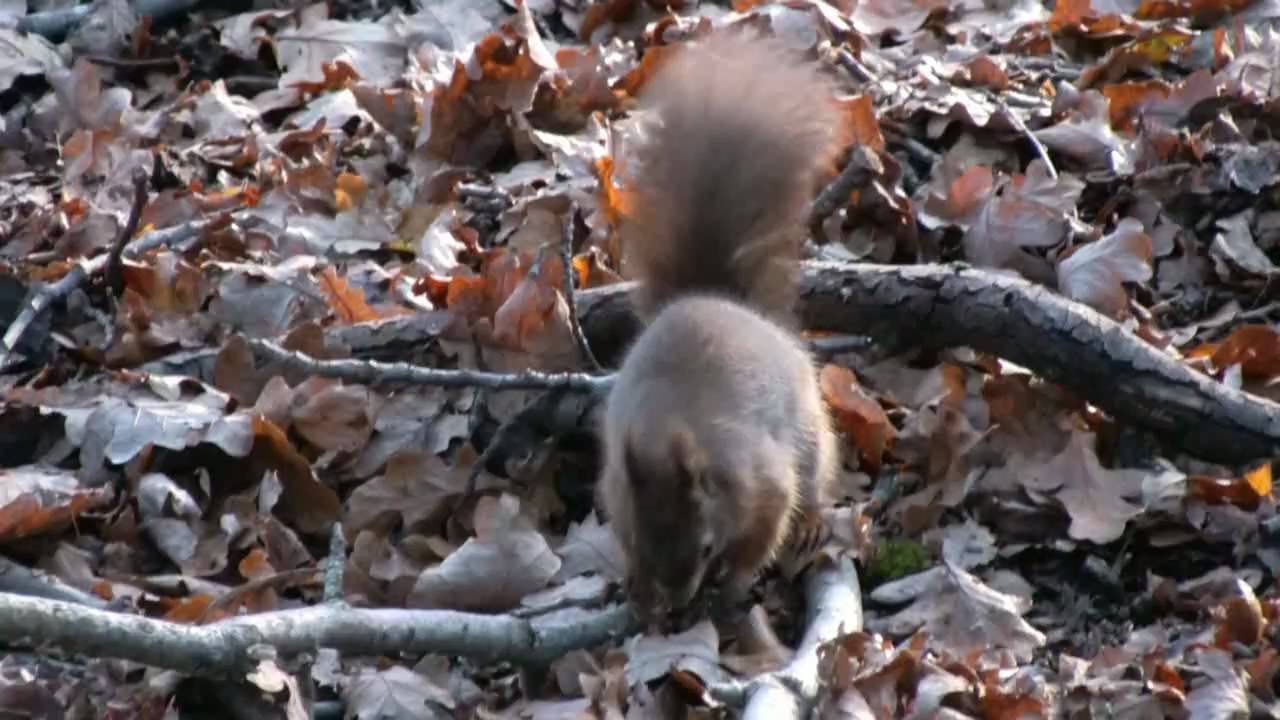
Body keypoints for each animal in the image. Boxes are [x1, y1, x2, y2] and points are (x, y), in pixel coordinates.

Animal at [597, 29, 842, 630]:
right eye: (639, 541)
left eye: (707, 547)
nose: (677, 598)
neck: (669, 427)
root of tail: (715, 299)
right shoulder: (617, 487)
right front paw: (635, 588)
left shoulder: (764, 481)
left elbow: (767, 527)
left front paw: (734, 580)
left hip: (810, 430)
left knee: (815, 477)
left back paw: (813, 523)